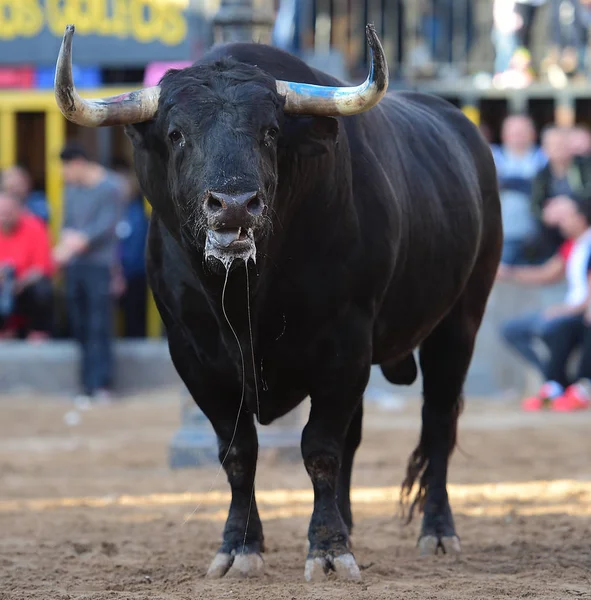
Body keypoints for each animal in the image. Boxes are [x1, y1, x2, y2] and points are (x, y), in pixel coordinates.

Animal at [55, 29, 502, 580]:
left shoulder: (345, 345)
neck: (248, 296)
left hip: (460, 322)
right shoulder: (193, 357)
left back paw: (437, 531)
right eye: (177, 134)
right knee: (360, 436)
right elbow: (239, 453)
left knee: (437, 421)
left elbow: (320, 449)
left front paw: (328, 550)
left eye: (270, 132)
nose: (234, 205)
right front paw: (239, 546)